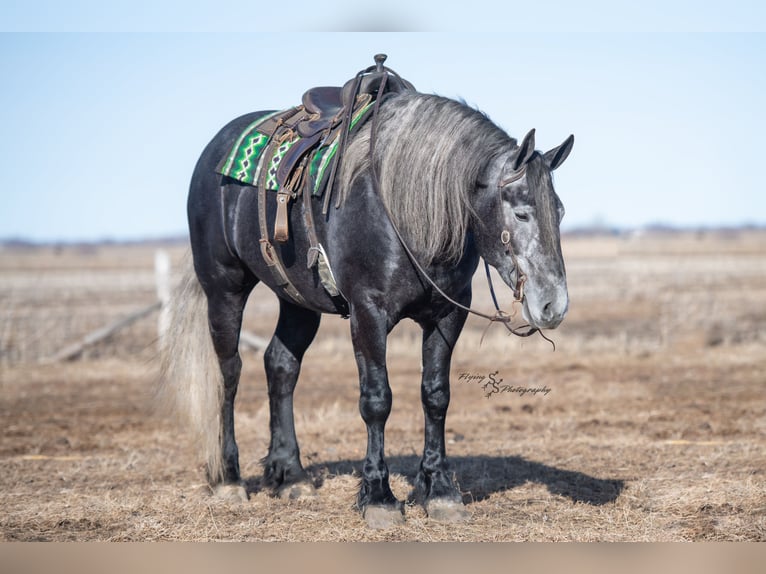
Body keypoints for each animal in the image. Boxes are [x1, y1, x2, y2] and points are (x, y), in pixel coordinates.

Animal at [160, 77, 574, 528]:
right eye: (521, 214)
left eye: (559, 211)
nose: (554, 305)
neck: (404, 209)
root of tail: (215, 150)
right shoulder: (368, 314)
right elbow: (377, 400)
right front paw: (378, 495)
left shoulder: (447, 315)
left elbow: (436, 396)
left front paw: (440, 490)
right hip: (224, 288)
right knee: (229, 373)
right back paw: (229, 479)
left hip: (298, 302)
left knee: (280, 366)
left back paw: (291, 476)